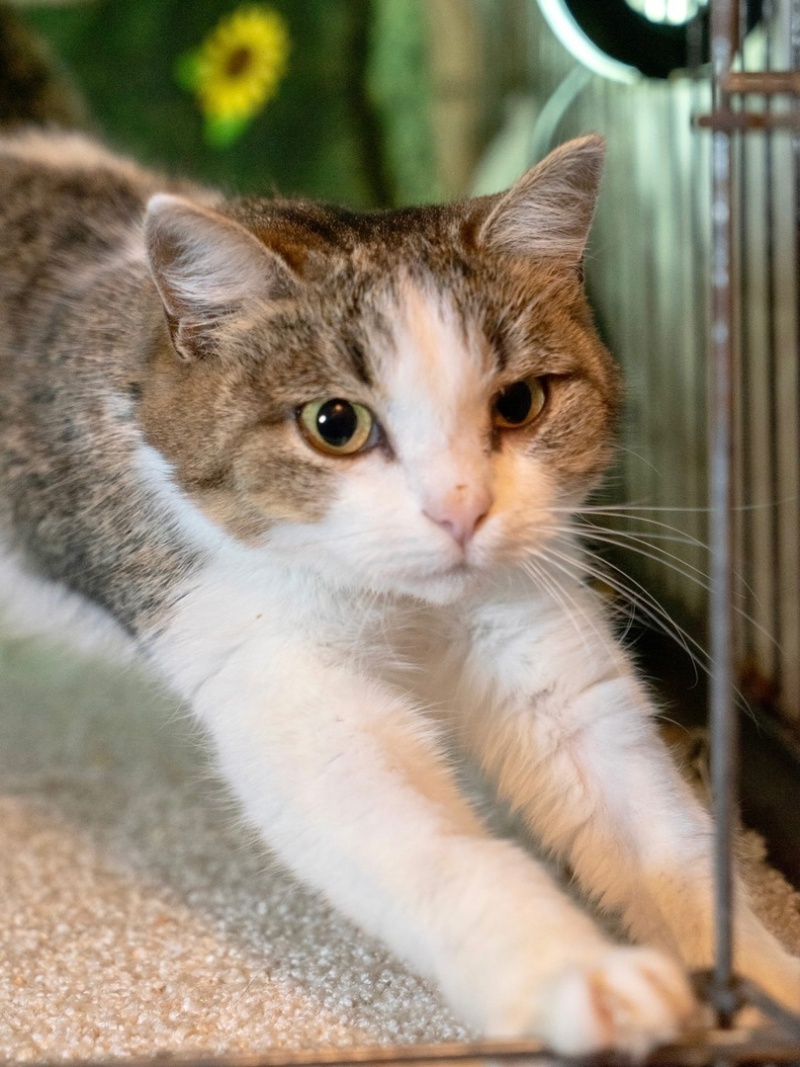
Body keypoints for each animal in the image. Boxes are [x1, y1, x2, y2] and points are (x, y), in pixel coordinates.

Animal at [0, 127, 798, 1056]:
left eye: (519, 402)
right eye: (334, 423)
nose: (461, 509)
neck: (409, 606)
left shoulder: (542, 639)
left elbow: (662, 837)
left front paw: (764, 986)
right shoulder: (287, 682)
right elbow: (448, 853)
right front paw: (579, 976)